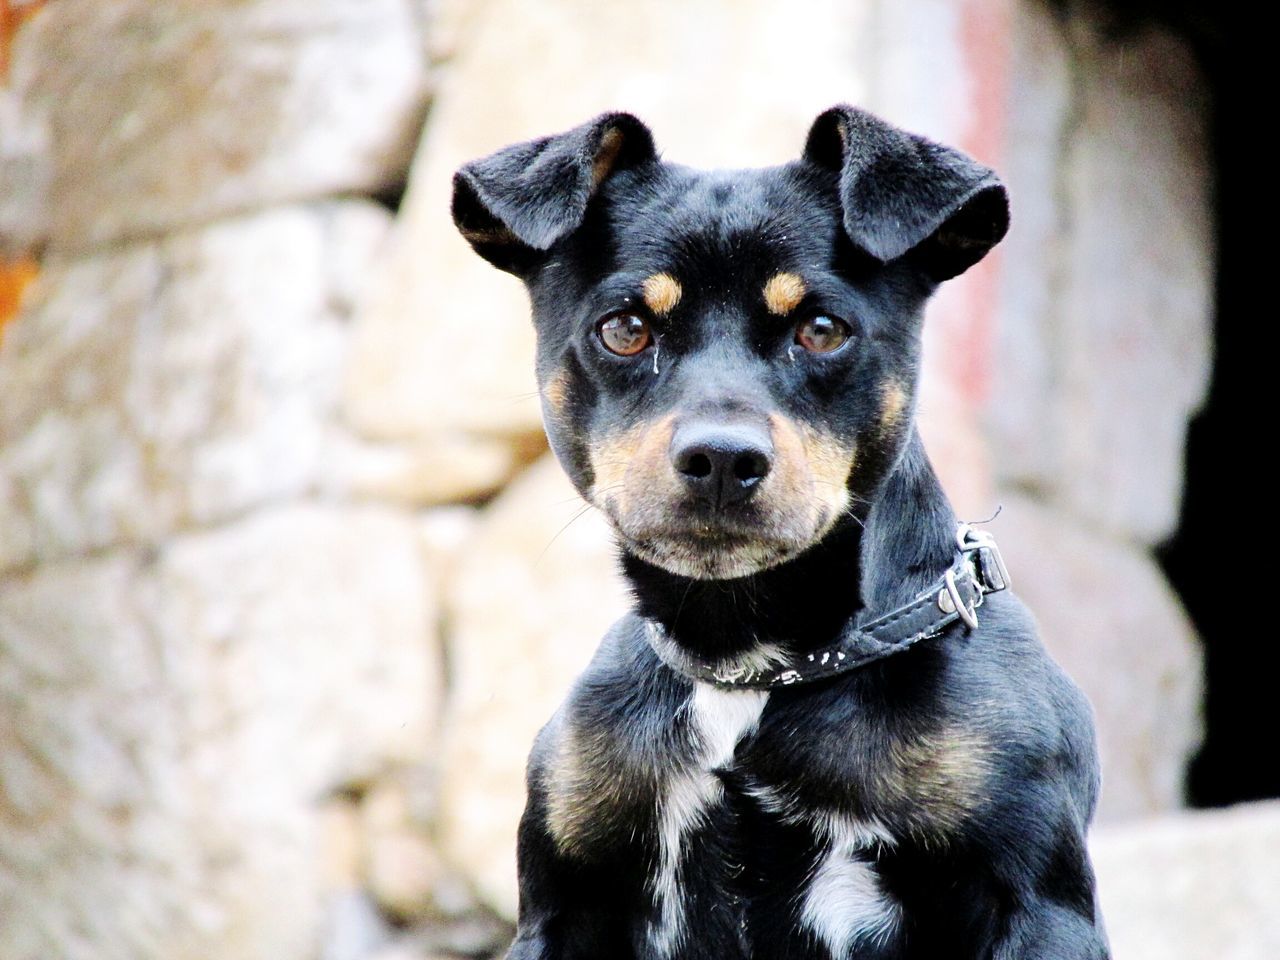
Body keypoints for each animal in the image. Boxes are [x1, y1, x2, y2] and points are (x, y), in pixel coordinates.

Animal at [453, 104, 1111, 960]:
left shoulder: (1037, 902)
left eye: (823, 329)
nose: (722, 459)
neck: (748, 663)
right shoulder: (563, 907)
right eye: (625, 328)